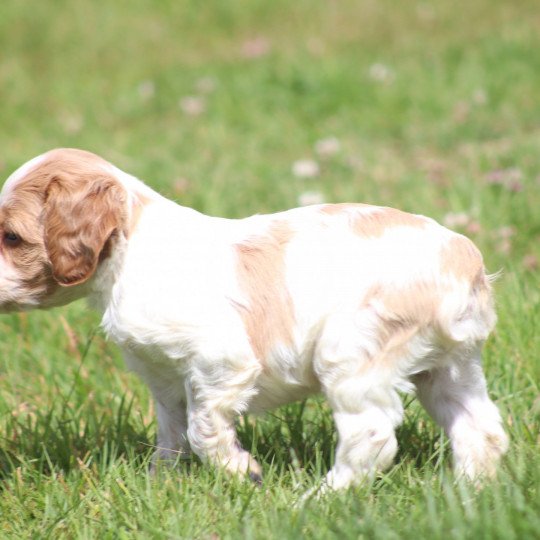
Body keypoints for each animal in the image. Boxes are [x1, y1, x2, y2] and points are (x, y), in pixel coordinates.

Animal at [0, 149, 508, 490]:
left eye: (11, 237)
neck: (130, 252)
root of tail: (463, 257)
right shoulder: (164, 379)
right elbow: (171, 435)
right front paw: (159, 485)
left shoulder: (219, 361)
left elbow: (202, 429)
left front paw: (241, 472)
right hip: (449, 368)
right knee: (481, 429)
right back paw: (468, 495)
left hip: (352, 354)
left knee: (372, 435)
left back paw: (320, 499)